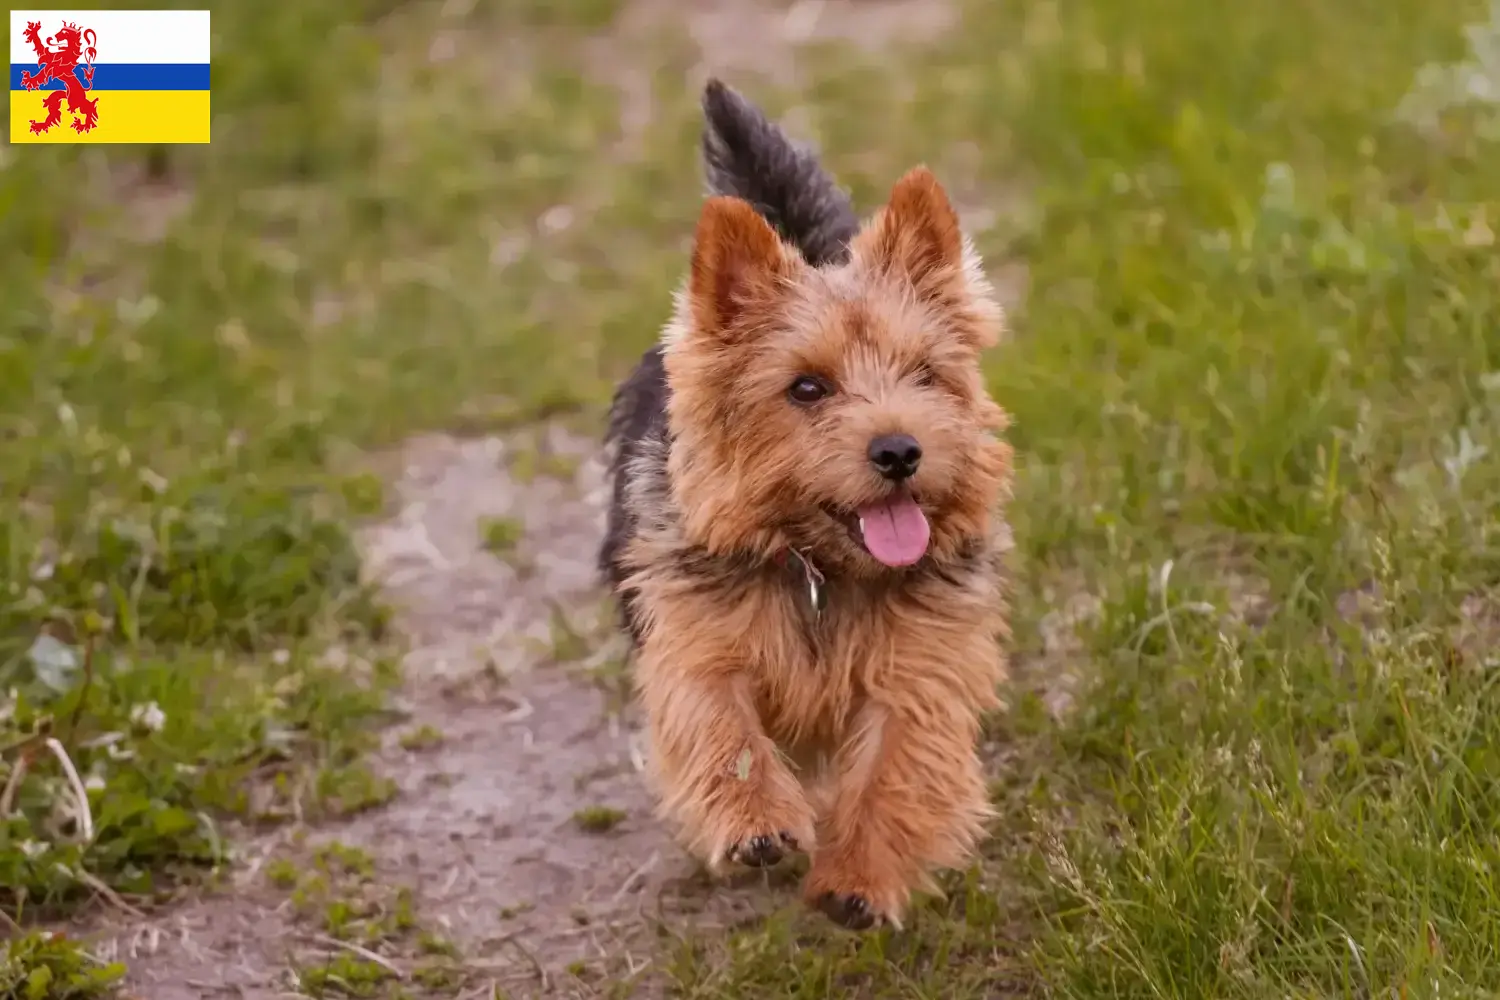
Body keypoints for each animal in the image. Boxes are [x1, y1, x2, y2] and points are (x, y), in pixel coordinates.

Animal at [594, 78, 1008, 929]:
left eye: (926, 374)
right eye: (806, 388)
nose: (899, 451)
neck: (820, 565)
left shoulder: (922, 666)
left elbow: (899, 764)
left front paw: (859, 878)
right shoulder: (694, 635)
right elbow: (719, 723)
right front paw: (755, 821)